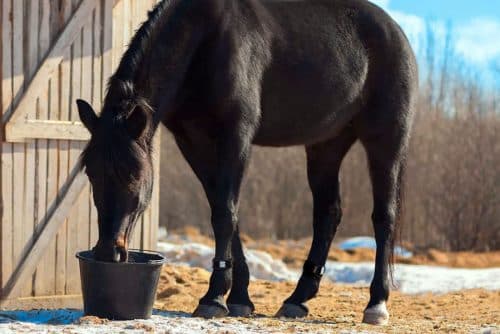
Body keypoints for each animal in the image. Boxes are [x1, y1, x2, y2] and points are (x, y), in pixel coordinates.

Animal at [77, 0, 418, 324]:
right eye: (91, 174)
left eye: (133, 175)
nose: (108, 252)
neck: (204, 38)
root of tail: (396, 33)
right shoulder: (194, 143)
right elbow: (225, 210)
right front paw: (239, 297)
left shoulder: (236, 136)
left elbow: (225, 214)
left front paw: (213, 299)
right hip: (326, 146)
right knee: (328, 213)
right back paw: (297, 299)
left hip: (385, 140)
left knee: (384, 216)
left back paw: (376, 304)